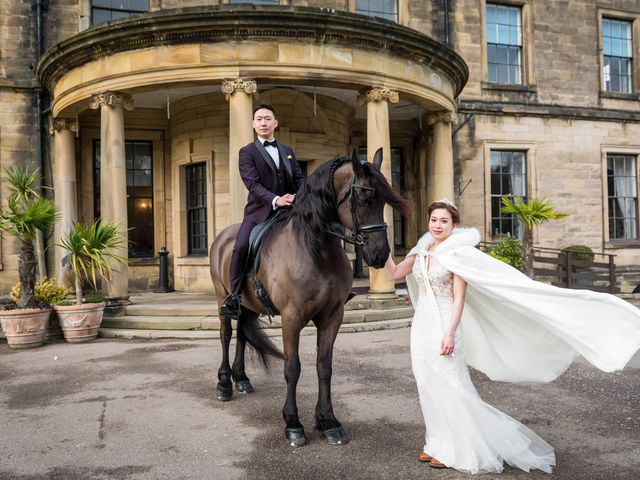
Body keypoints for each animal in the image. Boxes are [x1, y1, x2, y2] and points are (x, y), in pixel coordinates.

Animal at [211, 150, 410, 446]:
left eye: (384, 201)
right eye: (363, 199)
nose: (380, 255)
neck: (316, 248)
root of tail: (225, 234)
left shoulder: (332, 316)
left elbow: (324, 367)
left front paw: (328, 422)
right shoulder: (291, 318)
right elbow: (292, 368)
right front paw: (293, 424)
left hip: (250, 304)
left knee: (243, 334)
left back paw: (242, 378)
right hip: (222, 298)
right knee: (226, 334)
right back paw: (224, 384)